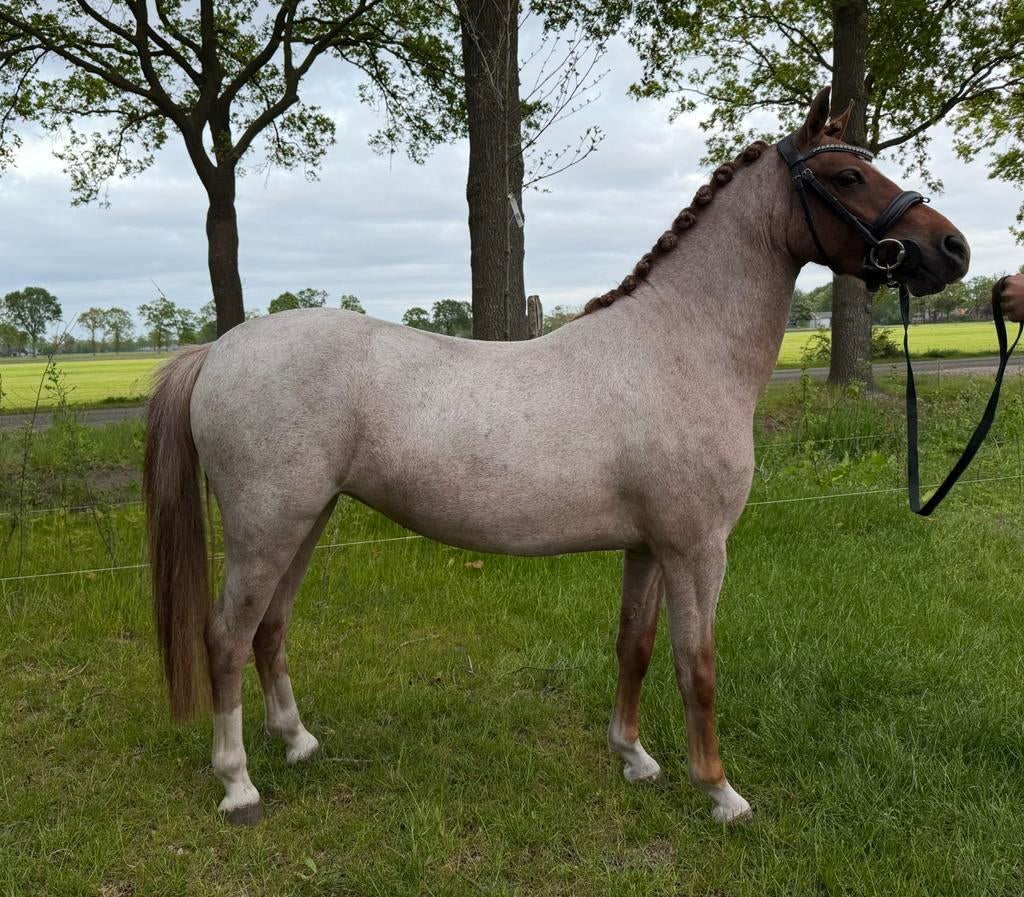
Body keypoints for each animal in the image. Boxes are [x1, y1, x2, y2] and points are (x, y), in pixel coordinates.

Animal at [143, 87, 970, 825]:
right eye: (847, 177)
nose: (952, 249)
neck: (680, 346)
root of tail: (219, 350)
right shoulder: (698, 548)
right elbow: (696, 666)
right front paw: (720, 792)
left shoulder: (648, 546)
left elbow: (634, 647)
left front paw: (634, 757)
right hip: (267, 526)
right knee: (228, 636)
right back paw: (238, 784)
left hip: (307, 519)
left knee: (270, 627)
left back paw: (299, 742)